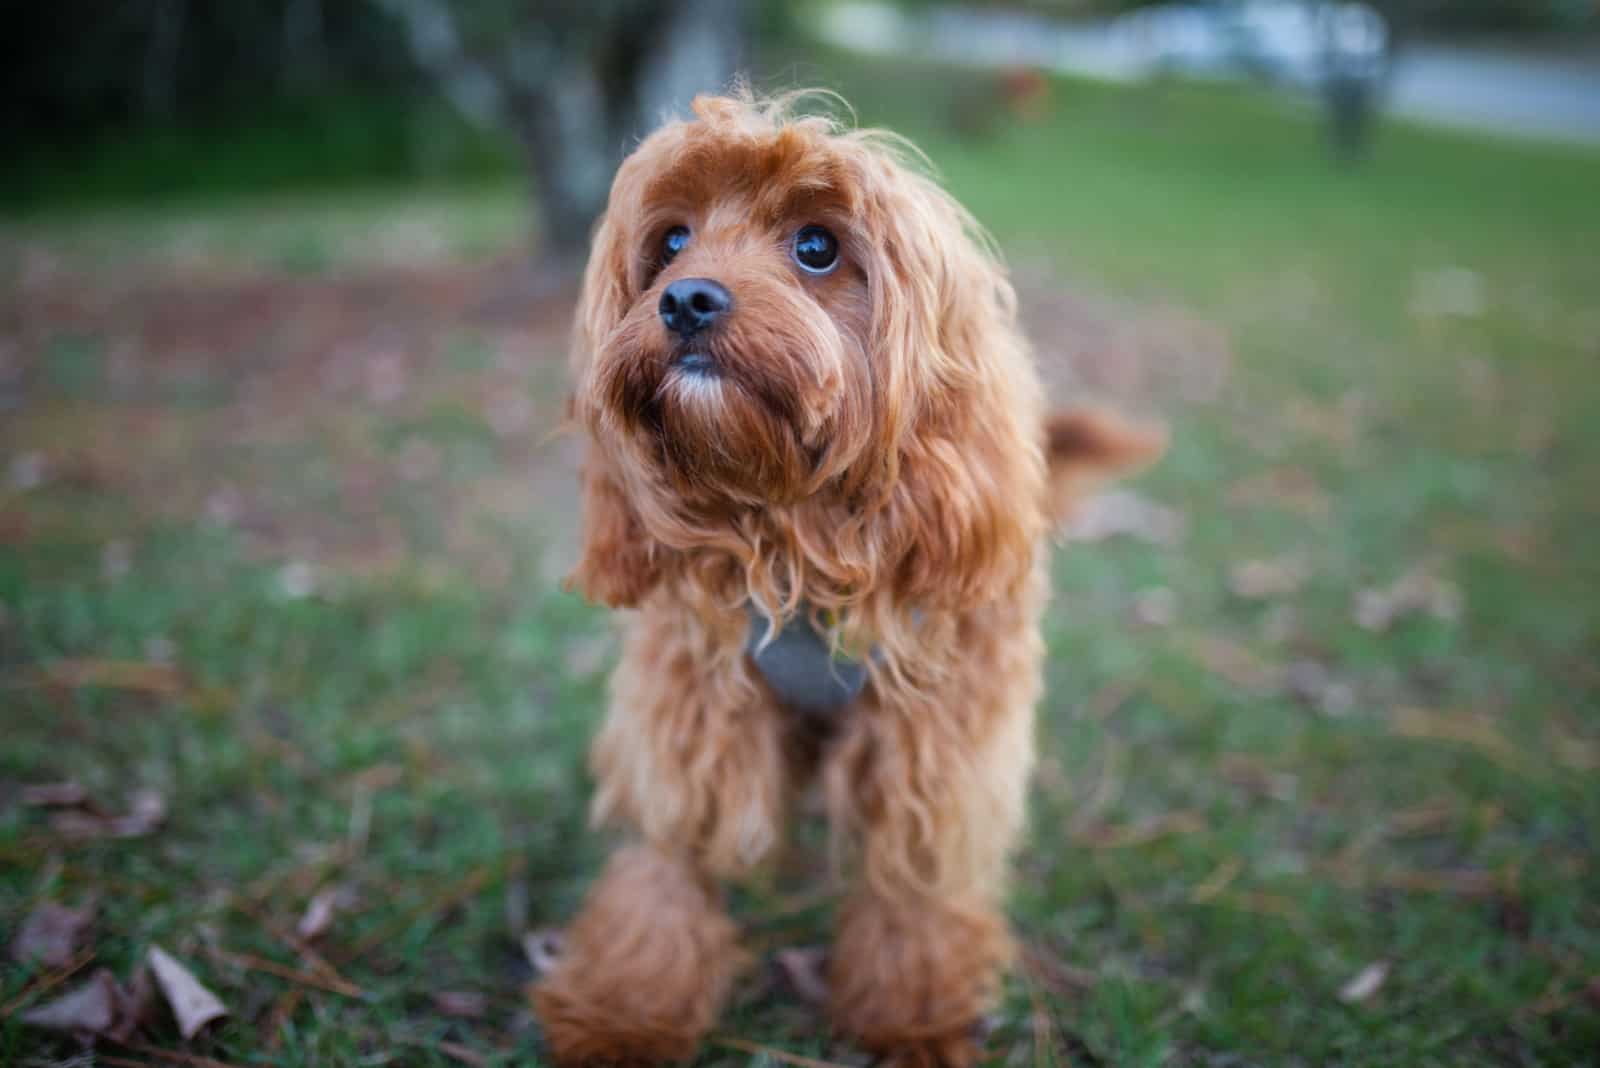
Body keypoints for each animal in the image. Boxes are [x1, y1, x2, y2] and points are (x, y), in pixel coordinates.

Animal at [534, 93, 1164, 1068]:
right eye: (672, 241)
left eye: (817, 247)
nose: (684, 299)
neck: (794, 533)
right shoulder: (694, 712)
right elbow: (666, 867)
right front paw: (624, 1012)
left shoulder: (932, 738)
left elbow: (914, 883)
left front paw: (912, 1016)